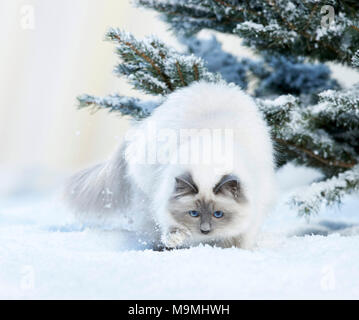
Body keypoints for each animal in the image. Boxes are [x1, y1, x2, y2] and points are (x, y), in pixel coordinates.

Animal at [65, 81, 278, 249]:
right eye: (193, 213)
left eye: (218, 214)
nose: (205, 230)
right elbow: (174, 229)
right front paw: (174, 240)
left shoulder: (251, 217)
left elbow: (239, 240)